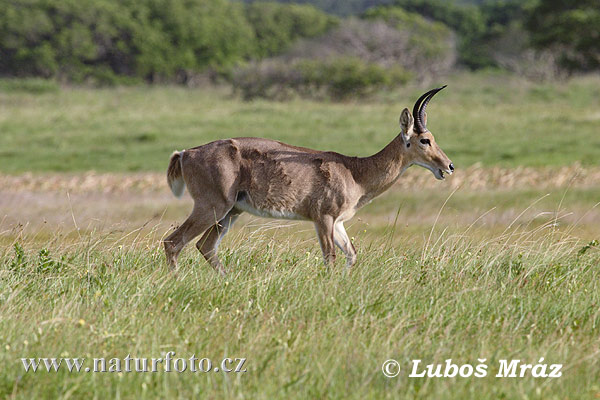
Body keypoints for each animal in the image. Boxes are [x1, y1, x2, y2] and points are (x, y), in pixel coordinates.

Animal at [162, 86, 452, 276]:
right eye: (424, 140)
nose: (448, 166)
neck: (355, 172)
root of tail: (186, 153)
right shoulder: (323, 218)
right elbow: (330, 257)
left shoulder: (338, 223)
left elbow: (352, 255)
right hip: (212, 207)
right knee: (173, 242)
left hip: (231, 212)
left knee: (205, 246)